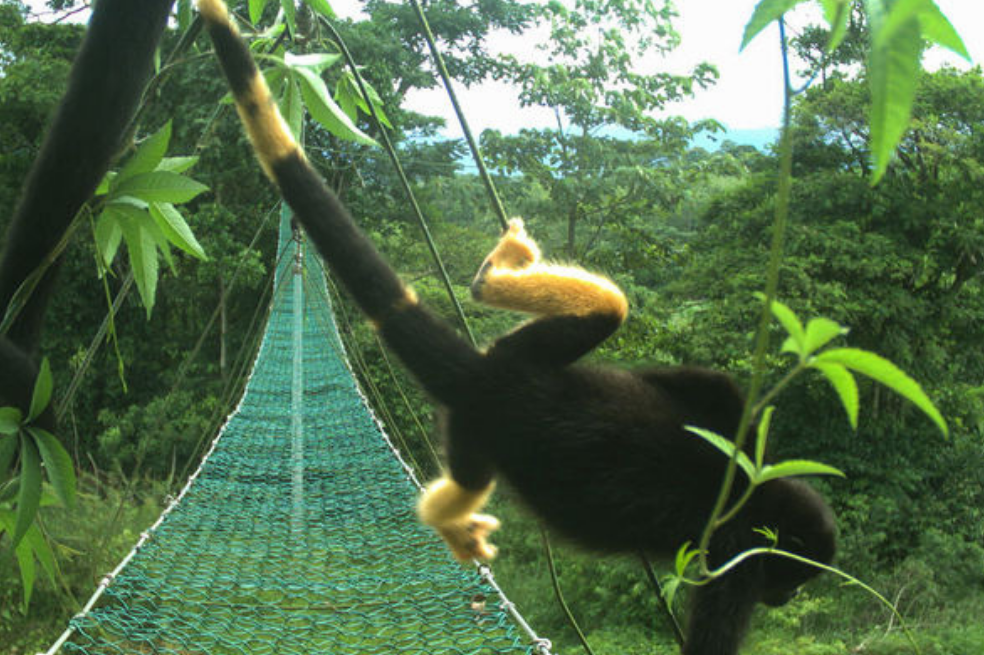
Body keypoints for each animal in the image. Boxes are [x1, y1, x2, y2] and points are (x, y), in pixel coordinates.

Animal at [196, 2, 836, 652]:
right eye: (791, 581)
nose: (786, 598)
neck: (758, 500)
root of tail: (484, 377)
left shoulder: (733, 439)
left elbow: (710, 386)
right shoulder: (737, 560)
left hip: (518, 357)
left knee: (609, 308)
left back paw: (490, 279)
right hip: (476, 432)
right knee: (471, 479)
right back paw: (448, 520)